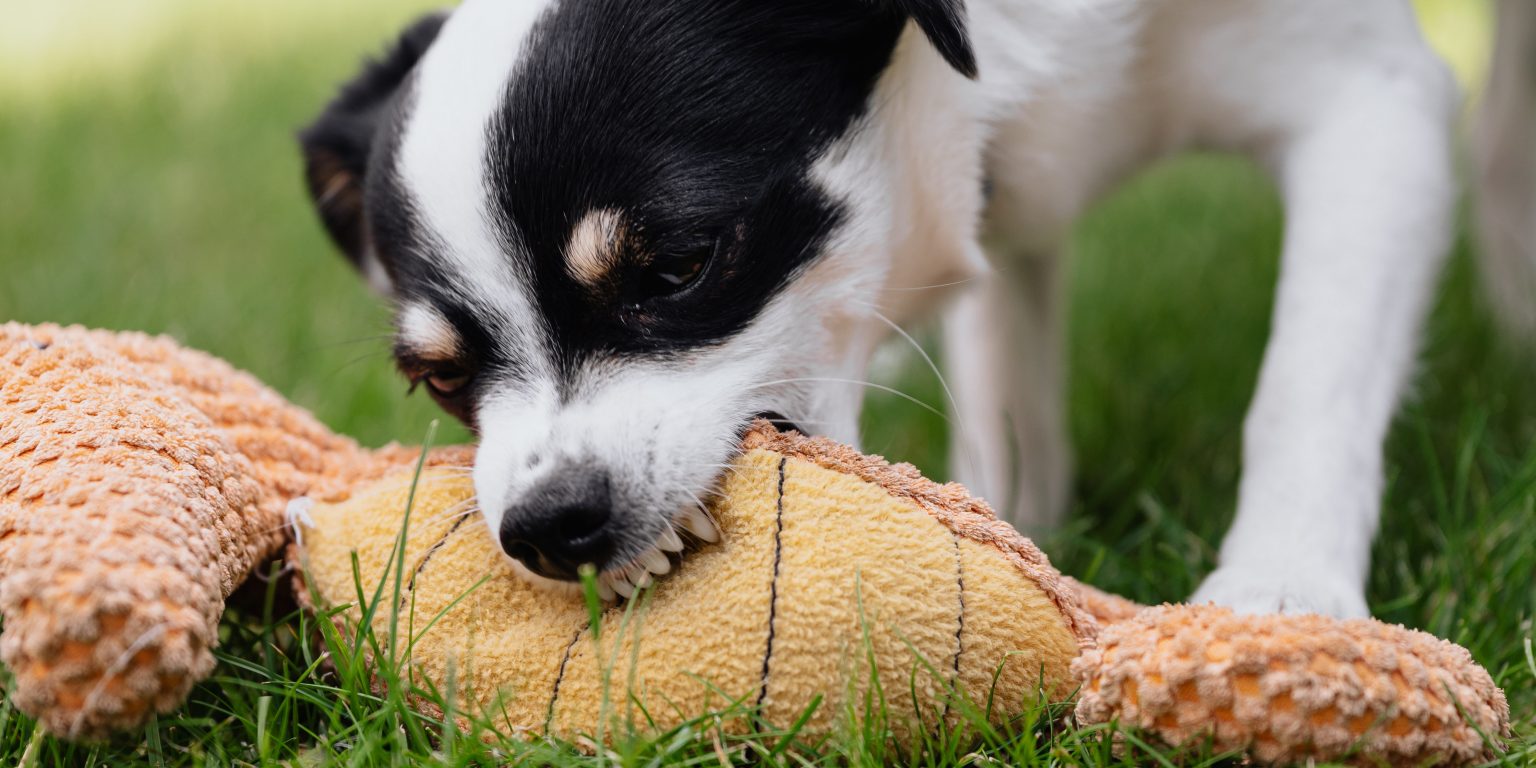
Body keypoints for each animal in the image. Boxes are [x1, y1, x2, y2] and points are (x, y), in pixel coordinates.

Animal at [293, 0, 1480, 614]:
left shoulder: (1376, 96)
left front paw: (1285, 592)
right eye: (442, 377)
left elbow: (1310, 383)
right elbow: (1008, 394)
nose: (546, 524)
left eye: (676, 265)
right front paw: (1017, 531)